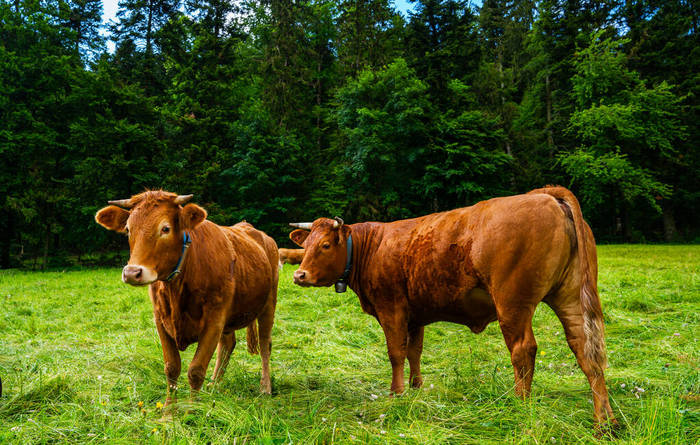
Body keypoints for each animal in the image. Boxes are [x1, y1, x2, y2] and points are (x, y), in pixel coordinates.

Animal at [95, 189, 278, 404]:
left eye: (165, 228)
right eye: (128, 229)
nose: (132, 273)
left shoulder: (214, 320)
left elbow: (196, 371)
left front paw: (192, 409)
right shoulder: (160, 320)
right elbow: (172, 368)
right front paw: (169, 410)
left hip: (269, 303)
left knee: (265, 344)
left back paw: (265, 387)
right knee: (227, 344)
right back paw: (214, 386)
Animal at [290, 186, 616, 432]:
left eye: (326, 245)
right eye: (306, 245)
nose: (299, 275)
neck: (371, 247)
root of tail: (545, 195)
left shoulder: (391, 309)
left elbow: (396, 353)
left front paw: (396, 394)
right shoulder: (415, 315)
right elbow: (414, 352)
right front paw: (416, 388)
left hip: (513, 303)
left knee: (523, 351)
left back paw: (519, 406)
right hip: (570, 296)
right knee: (586, 349)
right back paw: (605, 422)